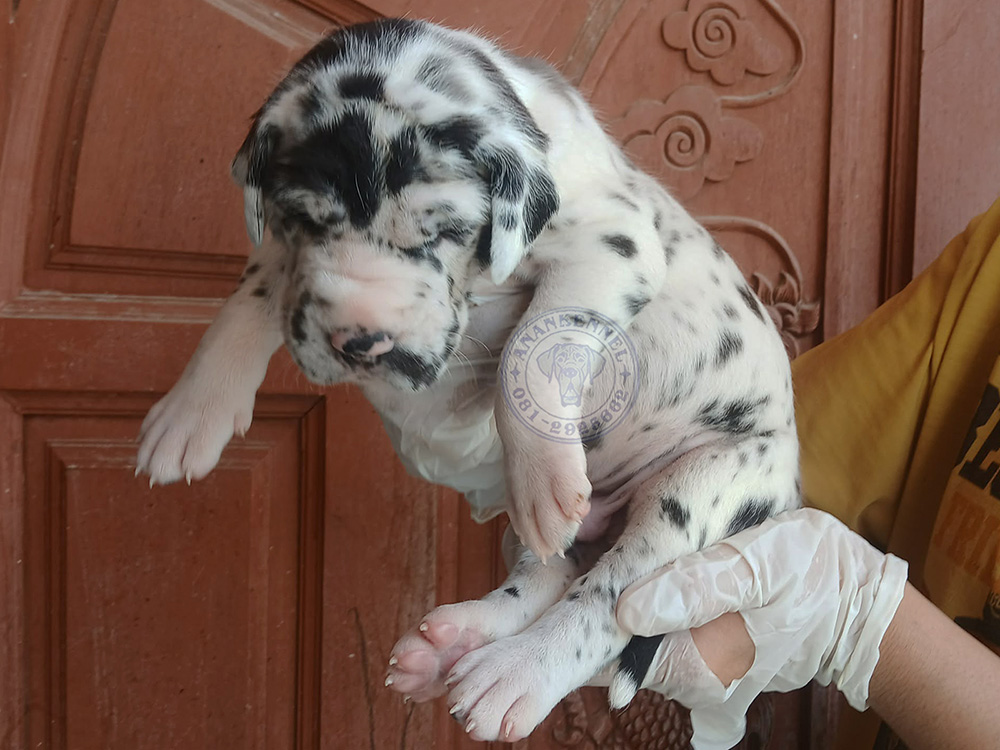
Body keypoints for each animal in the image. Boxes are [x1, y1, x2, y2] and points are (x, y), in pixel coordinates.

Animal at [135, 18, 801, 742]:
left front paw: (543, 474)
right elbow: (253, 293)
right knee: (550, 572)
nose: (360, 343)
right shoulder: (281, 255)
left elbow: (528, 348)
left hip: (696, 493)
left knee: (605, 604)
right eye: (305, 219)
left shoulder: (611, 243)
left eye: (448, 232)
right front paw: (190, 414)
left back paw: (514, 675)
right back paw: (453, 643)